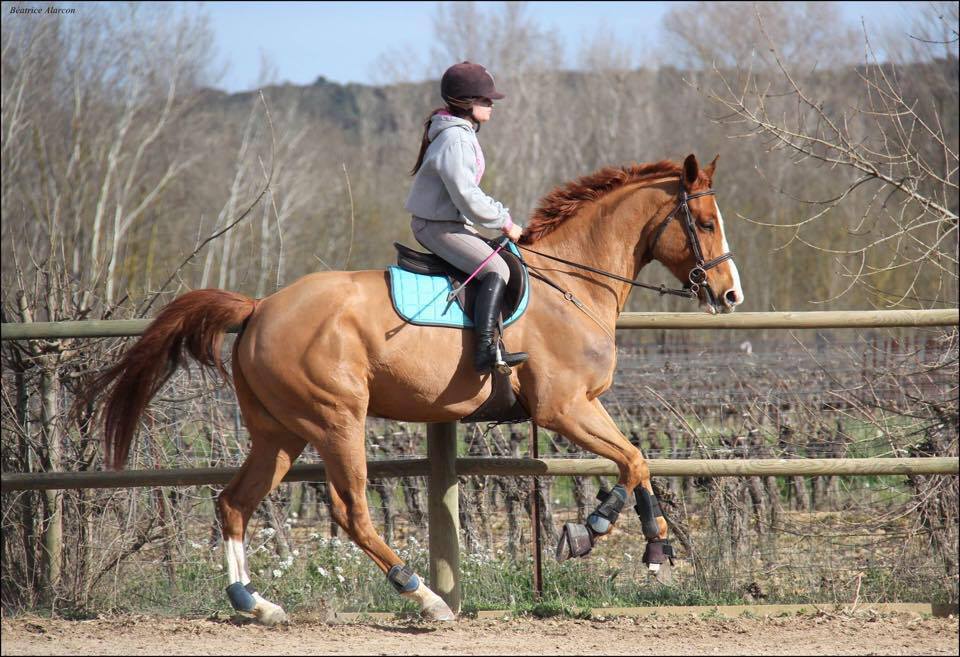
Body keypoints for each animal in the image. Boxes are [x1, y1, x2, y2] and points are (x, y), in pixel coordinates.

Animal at [92, 154, 744, 624]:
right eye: (705, 223)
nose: (731, 295)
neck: (571, 283)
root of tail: (258, 309)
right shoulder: (563, 408)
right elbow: (632, 459)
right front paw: (608, 535)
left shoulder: (583, 408)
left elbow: (639, 460)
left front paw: (631, 541)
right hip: (336, 422)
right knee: (351, 512)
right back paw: (424, 595)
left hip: (278, 433)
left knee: (233, 503)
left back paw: (256, 604)